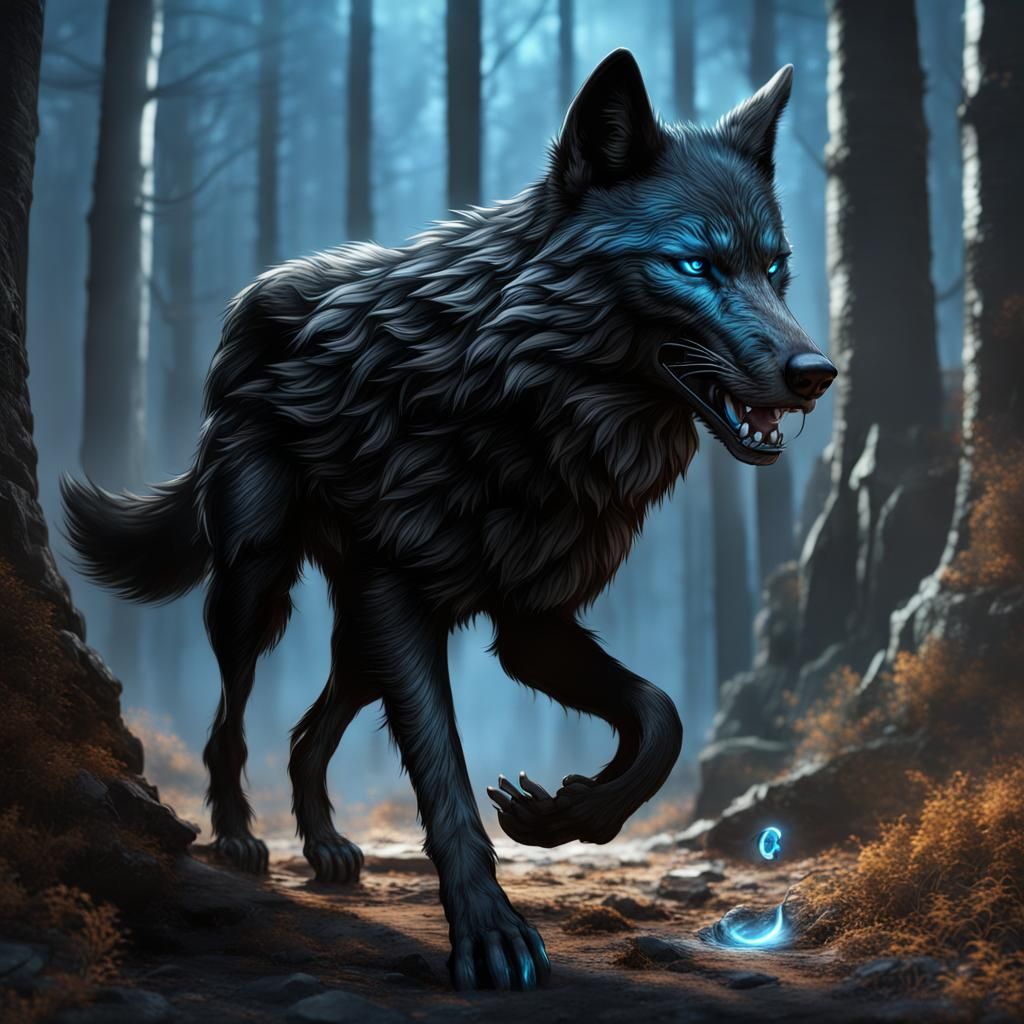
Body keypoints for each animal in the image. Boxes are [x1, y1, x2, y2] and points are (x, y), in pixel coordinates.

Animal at [62, 50, 834, 989]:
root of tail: (252, 298)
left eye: (777, 267)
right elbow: (445, 778)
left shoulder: (531, 621)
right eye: (693, 266)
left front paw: (565, 812)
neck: (530, 404)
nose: (818, 373)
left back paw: (324, 845)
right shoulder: (408, 602)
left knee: (306, 733)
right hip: (262, 589)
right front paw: (489, 930)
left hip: (360, 633)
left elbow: (661, 716)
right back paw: (241, 835)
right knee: (231, 720)